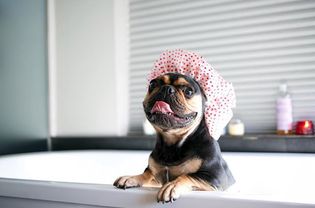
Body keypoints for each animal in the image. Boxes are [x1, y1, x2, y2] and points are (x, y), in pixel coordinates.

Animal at [113, 72, 235, 202]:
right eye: (152, 84)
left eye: (188, 91)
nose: (167, 88)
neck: (171, 143)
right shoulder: (156, 177)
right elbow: (147, 173)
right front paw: (131, 177)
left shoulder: (215, 176)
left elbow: (189, 176)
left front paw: (172, 185)